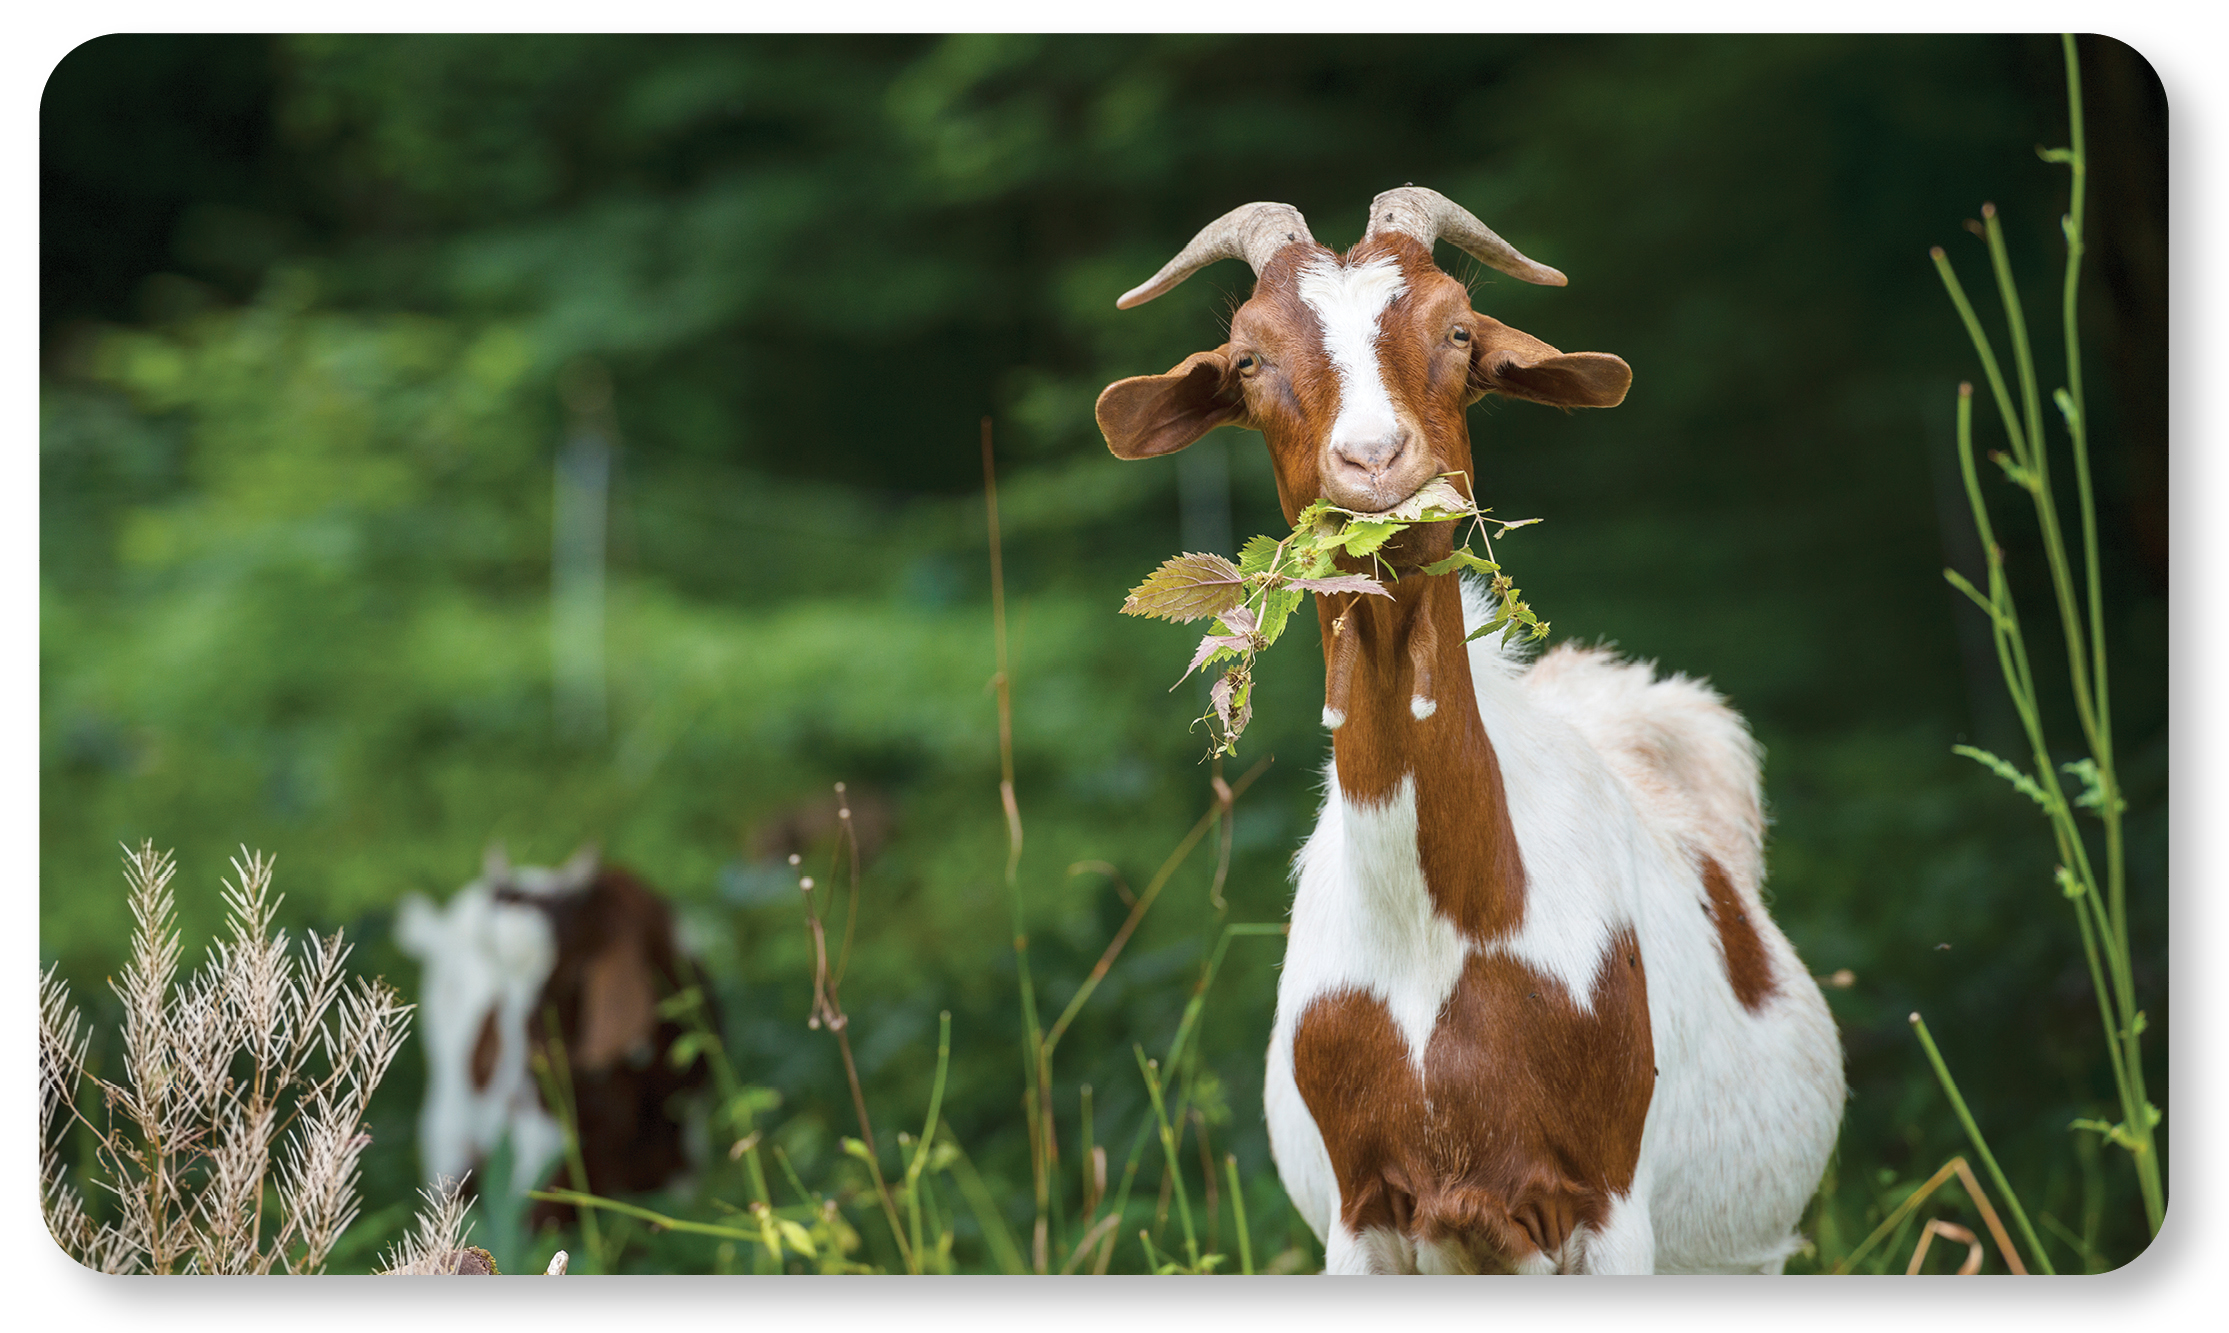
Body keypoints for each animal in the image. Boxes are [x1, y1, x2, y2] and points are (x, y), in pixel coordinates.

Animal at [396, 844, 711, 1231]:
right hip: (450, 1117)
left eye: (577, 972)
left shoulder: (680, 1159)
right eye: (503, 992)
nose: (525, 1081)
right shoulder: (544, 1152)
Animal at [1096, 188, 1845, 1274]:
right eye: (1247, 358)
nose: (1375, 462)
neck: (1442, 931)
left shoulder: (1609, 1201)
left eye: (1457, 330)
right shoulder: (1361, 1210)